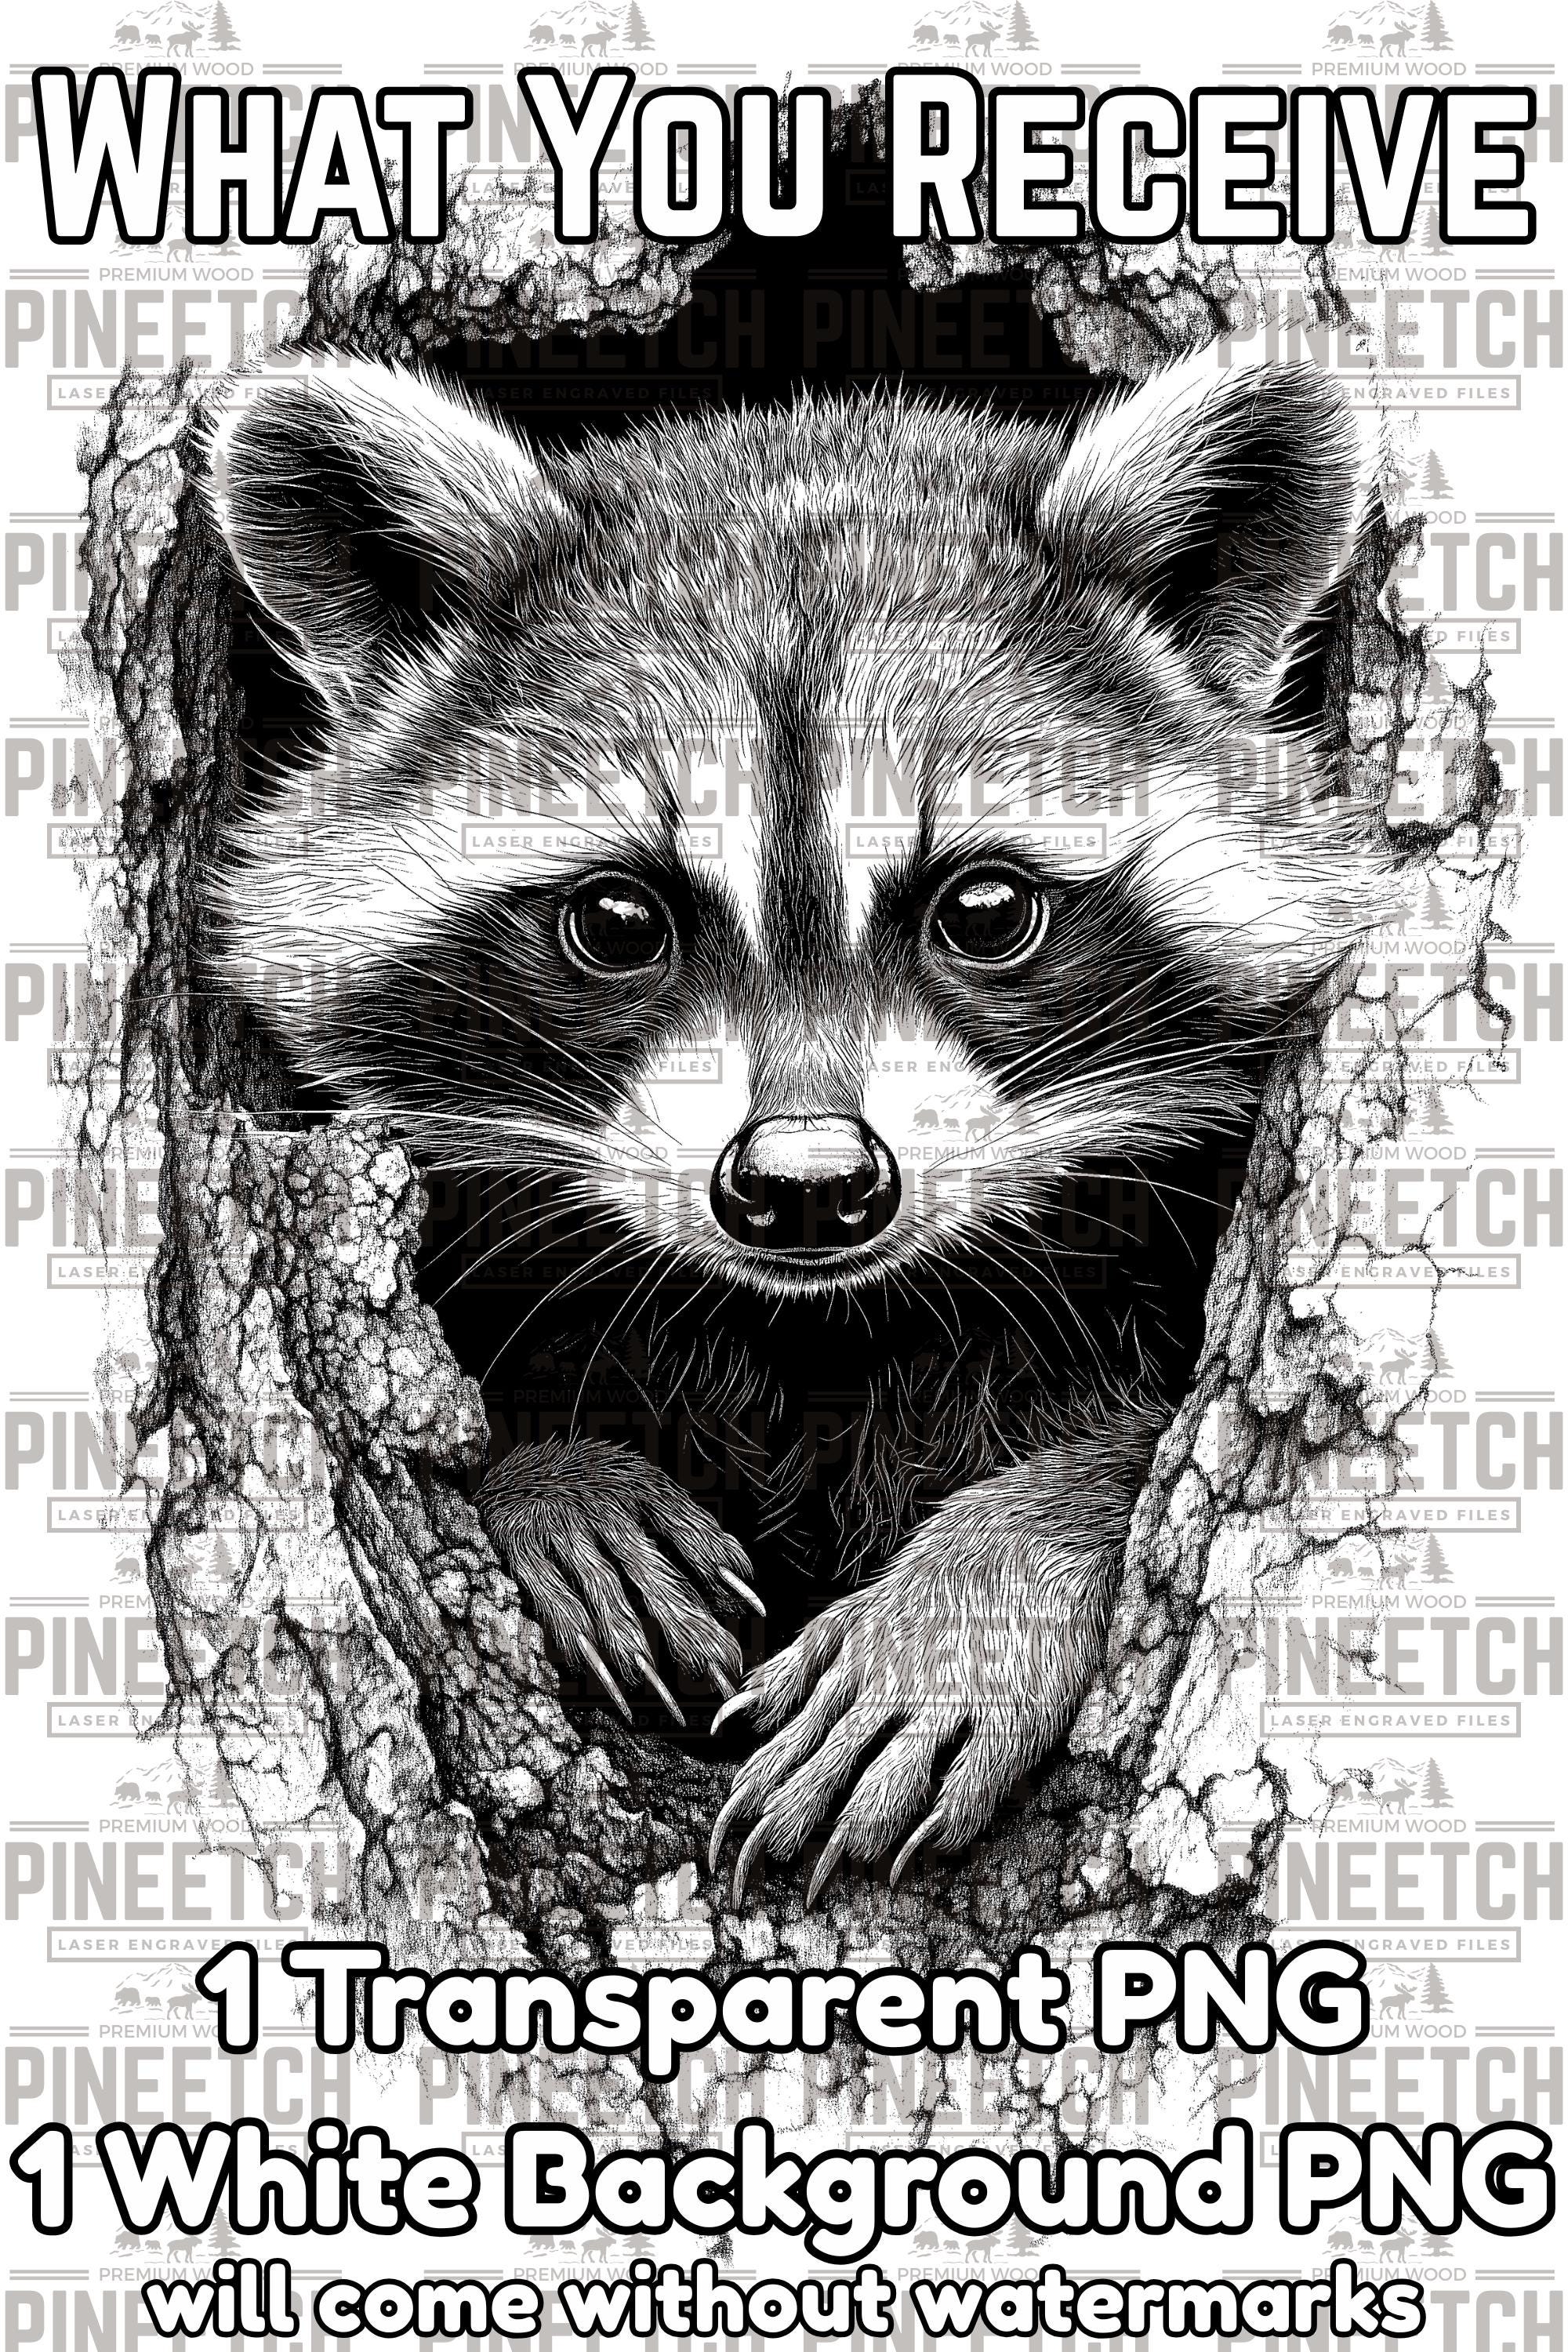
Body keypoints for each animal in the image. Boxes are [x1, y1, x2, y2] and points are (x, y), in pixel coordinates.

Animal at [203, 348, 1385, 1901]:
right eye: (618, 920)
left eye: (985, 909)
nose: (809, 1186)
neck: (817, 1323)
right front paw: (553, 1483)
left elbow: (1155, 1446)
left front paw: (991, 1582)